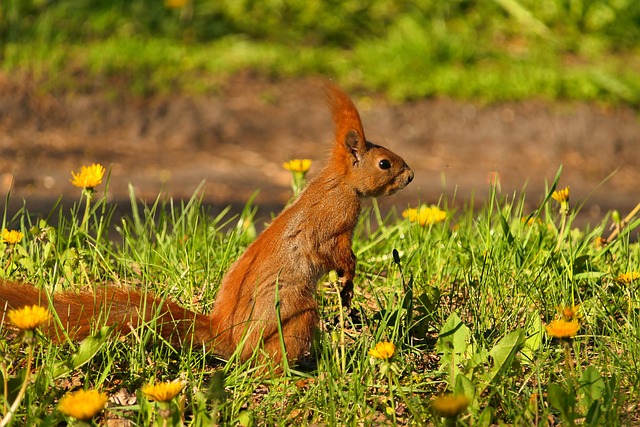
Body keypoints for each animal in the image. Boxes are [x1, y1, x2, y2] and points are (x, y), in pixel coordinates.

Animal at [0, 83, 416, 364]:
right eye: (384, 163)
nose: (411, 177)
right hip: (295, 315)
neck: (340, 182)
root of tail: (227, 338)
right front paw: (349, 277)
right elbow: (336, 252)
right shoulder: (334, 221)